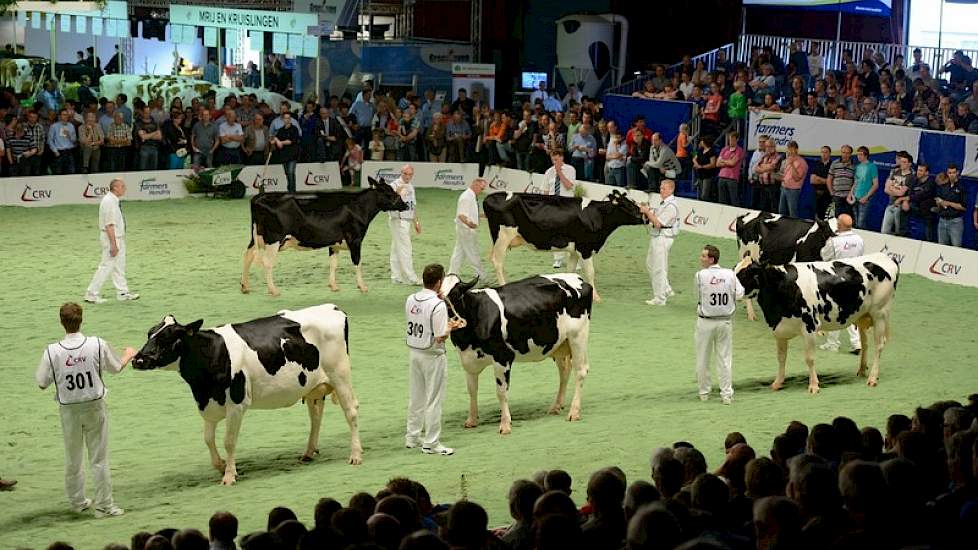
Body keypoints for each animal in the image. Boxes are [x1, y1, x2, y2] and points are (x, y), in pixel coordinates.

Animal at [130, 306, 358, 488]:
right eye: (149, 333)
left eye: (167, 338)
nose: (137, 360)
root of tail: (333, 308)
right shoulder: (208, 405)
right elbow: (208, 439)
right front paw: (221, 465)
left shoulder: (236, 405)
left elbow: (229, 441)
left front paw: (229, 475)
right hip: (313, 386)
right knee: (316, 416)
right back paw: (309, 453)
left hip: (340, 374)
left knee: (351, 411)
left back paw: (355, 456)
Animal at [242, 179, 406, 296]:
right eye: (390, 192)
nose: (405, 205)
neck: (358, 207)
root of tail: (260, 197)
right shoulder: (355, 239)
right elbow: (357, 262)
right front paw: (362, 286)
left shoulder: (334, 242)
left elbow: (333, 264)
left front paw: (333, 286)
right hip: (274, 239)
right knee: (267, 262)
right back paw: (273, 290)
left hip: (256, 237)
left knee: (247, 256)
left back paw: (245, 287)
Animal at [444, 274, 596, 438]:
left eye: (454, 295)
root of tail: (577, 278)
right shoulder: (468, 361)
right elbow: (472, 391)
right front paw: (471, 420)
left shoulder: (502, 358)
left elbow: (501, 392)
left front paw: (505, 425)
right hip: (559, 344)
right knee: (564, 371)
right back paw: (556, 406)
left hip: (578, 336)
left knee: (580, 371)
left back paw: (574, 412)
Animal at [482, 190, 648, 302]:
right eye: (627, 205)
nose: (645, 216)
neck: (597, 215)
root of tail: (489, 197)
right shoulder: (585, 248)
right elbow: (591, 272)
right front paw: (596, 297)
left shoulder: (574, 250)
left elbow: (570, 271)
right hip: (503, 236)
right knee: (498, 262)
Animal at [732, 254, 900, 396]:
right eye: (735, 269)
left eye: (746, 274)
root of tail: (886, 257)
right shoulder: (780, 331)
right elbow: (781, 358)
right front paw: (777, 383)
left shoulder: (809, 327)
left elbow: (809, 358)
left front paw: (813, 385)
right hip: (862, 315)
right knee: (865, 344)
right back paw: (861, 370)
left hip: (880, 313)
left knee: (879, 345)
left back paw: (872, 378)